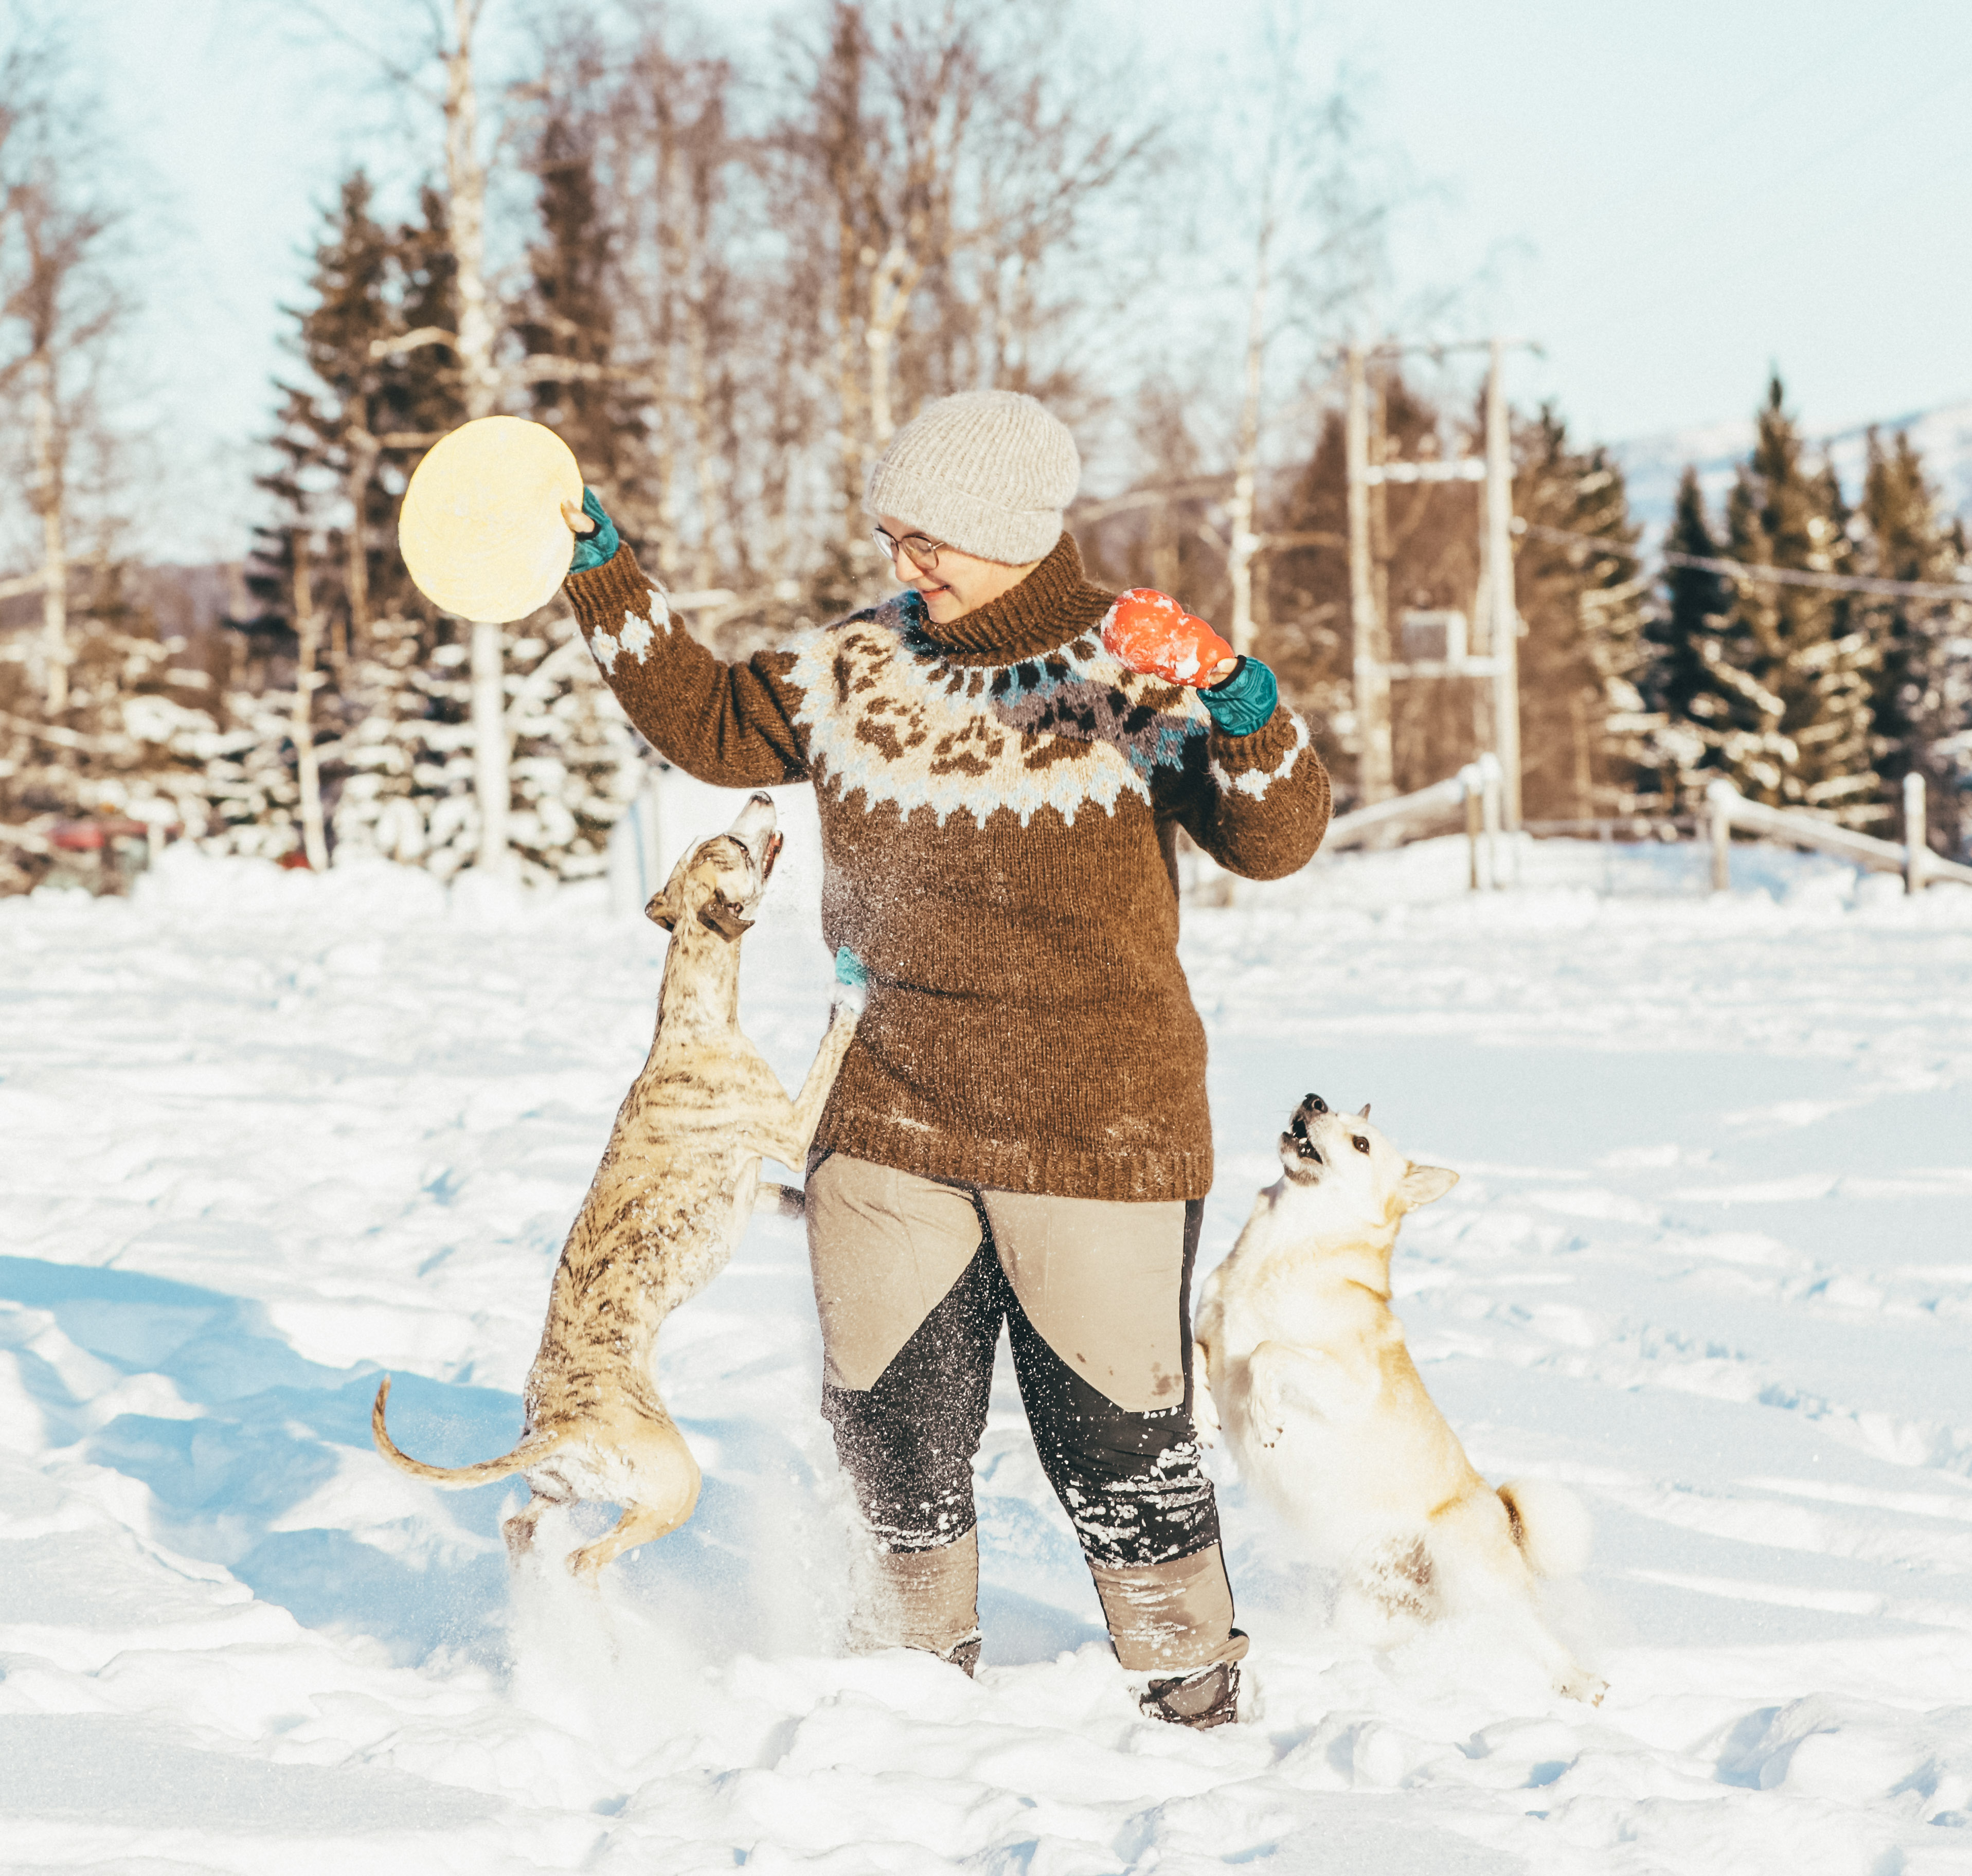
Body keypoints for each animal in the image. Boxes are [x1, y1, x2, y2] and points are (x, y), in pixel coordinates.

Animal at [370, 801, 864, 1578]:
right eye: (730, 845)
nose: (761, 797)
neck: (693, 1017)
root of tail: (560, 1426)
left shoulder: (754, 1189)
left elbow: (791, 1198)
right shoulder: (786, 1127)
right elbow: (829, 1051)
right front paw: (850, 996)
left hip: (559, 1490)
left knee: (522, 1530)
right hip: (672, 1484)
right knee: (587, 1558)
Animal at [1183, 1096, 1601, 1712]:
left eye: (1362, 1143)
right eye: (1327, 1107)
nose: (1311, 1100)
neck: (1277, 1256)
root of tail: (1507, 1523)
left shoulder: (1349, 1387)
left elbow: (1267, 1353)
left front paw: (1265, 1416)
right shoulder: (1208, 1334)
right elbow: (1192, 1355)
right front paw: (1205, 1415)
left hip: (1466, 1569)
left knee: (1537, 1636)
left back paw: (1581, 1684)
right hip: (1374, 1611)